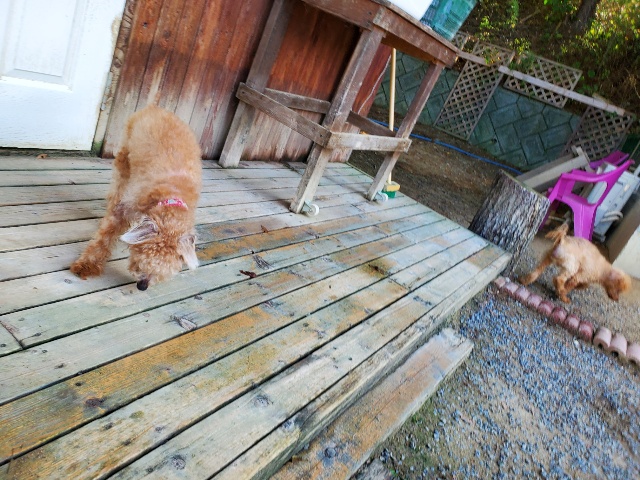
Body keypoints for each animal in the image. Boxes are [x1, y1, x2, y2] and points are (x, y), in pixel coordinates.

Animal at [71, 105, 202, 290]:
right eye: (144, 254)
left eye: (168, 267)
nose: (142, 285)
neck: (171, 195)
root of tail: (155, 107)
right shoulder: (124, 208)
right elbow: (104, 238)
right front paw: (86, 265)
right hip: (124, 160)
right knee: (116, 190)